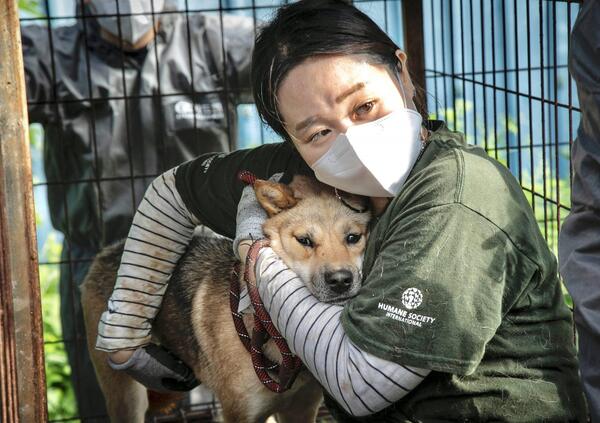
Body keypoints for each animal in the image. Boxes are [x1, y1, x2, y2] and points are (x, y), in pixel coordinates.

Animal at [79, 176, 370, 423]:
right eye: (305, 240)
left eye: (353, 237)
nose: (341, 280)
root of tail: (110, 249)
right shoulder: (238, 412)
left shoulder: (301, 408)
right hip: (126, 396)